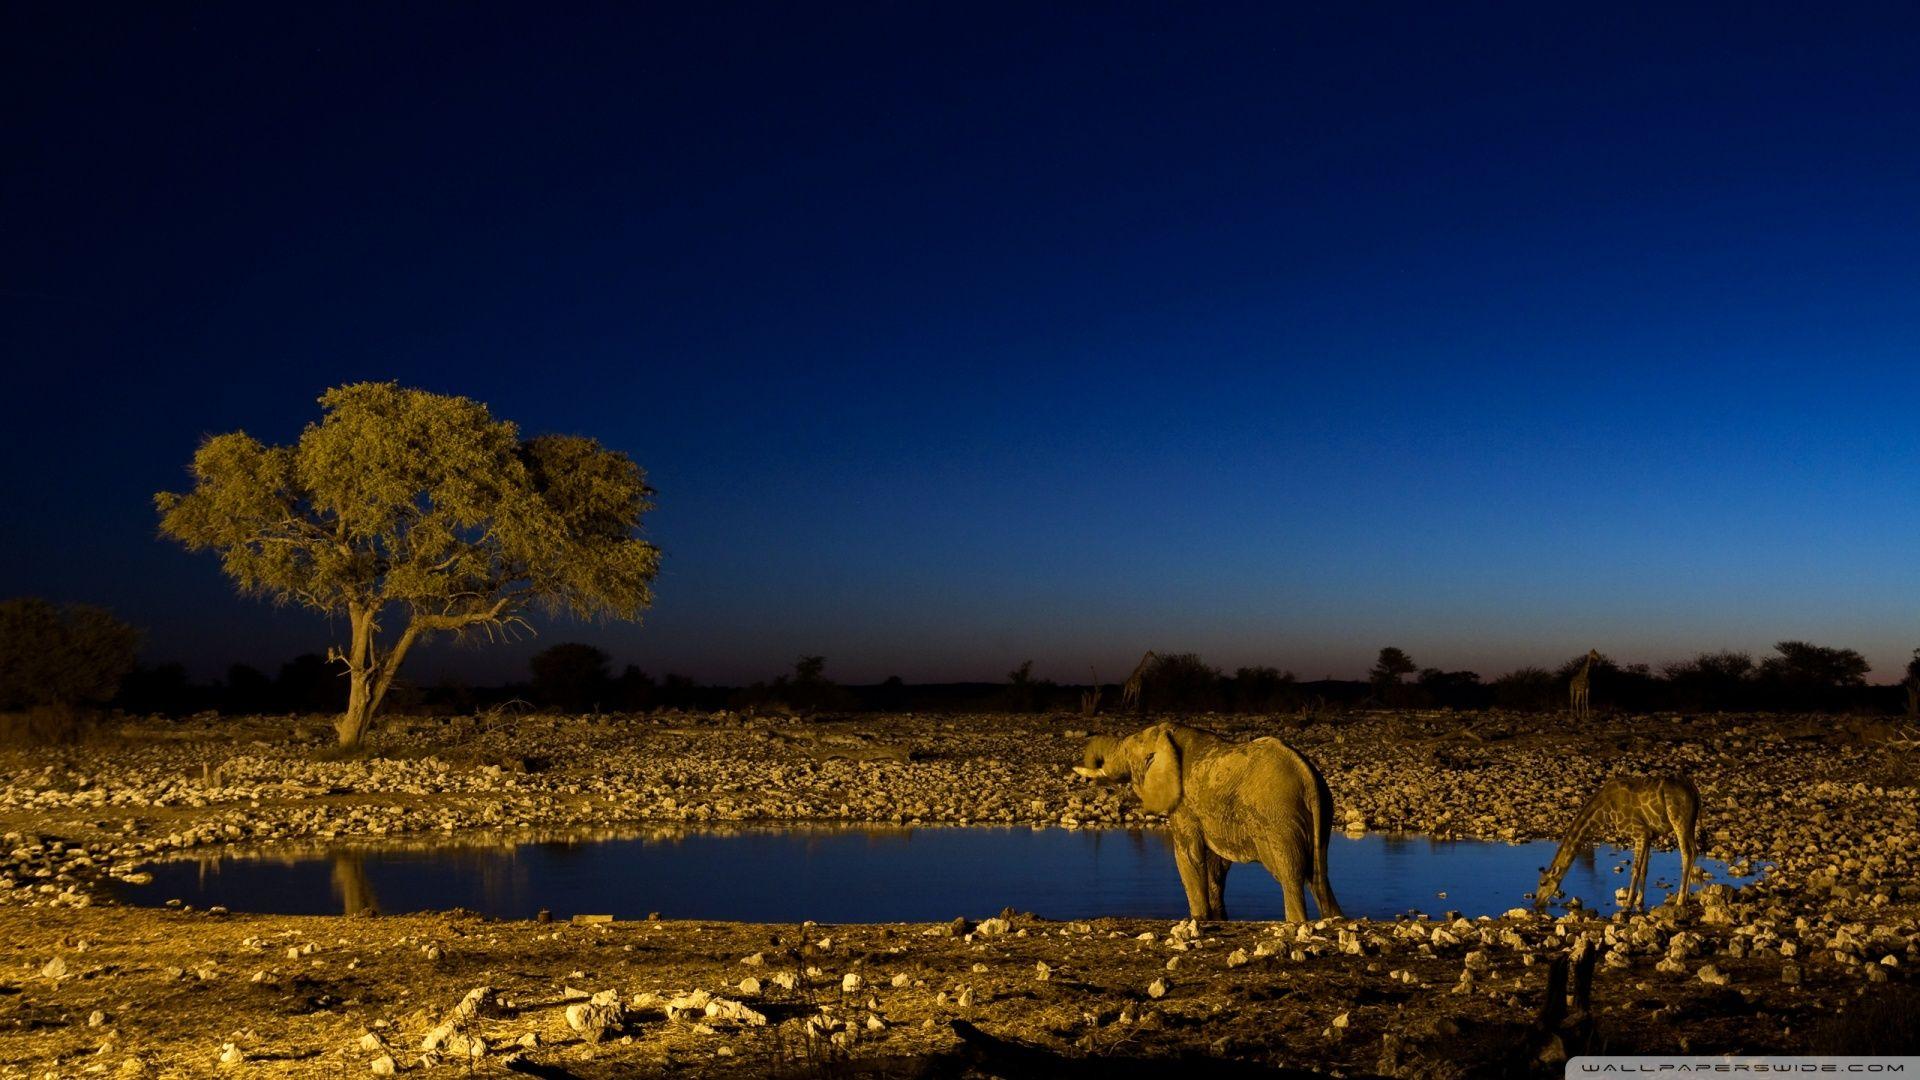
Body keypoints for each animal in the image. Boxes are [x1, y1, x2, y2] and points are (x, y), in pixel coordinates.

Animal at [1074, 723, 1341, 922]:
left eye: (1128, 751)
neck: (1166, 734)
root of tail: (1308, 776)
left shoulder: (1184, 804)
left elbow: (1188, 855)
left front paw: (1199, 919)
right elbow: (1216, 864)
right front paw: (1217, 918)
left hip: (1279, 817)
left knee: (1290, 873)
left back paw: (1296, 922)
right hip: (1322, 812)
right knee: (1319, 875)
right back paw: (1334, 919)